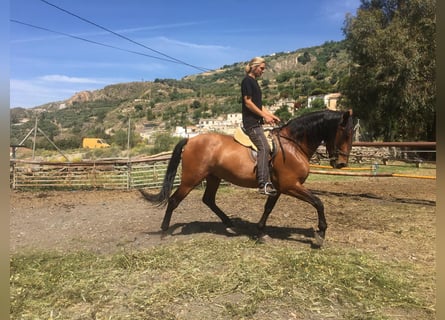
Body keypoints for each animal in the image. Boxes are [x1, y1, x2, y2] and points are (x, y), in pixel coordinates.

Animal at [140, 109, 352, 246]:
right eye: (345, 134)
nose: (341, 164)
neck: (293, 144)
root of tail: (191, 140)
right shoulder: (291, 185)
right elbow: (318, 202)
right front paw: (321, 233)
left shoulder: (278, 188)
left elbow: (268, 208)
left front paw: (260, 231)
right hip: (191, 178)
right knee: (174, 200)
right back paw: (164, 231)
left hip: (214, 177)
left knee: (208, 199)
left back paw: (229, 224)